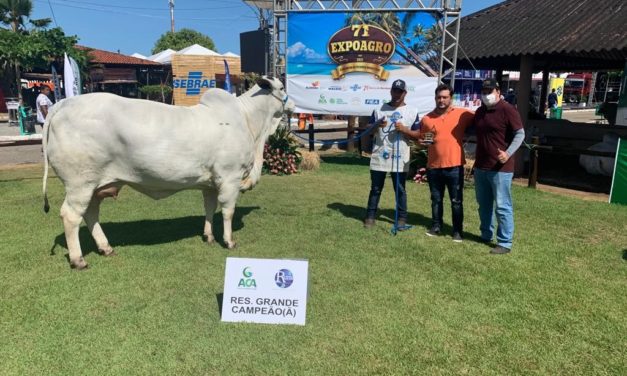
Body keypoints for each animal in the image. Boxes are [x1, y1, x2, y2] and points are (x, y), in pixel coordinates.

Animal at [44, 77, 294, 270]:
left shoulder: (211, 183)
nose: (293, 105)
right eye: (282, 87)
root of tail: (62, 104)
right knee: (71, 216)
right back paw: (78, 260)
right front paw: (229, 241)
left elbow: (209, 208)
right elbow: (227, 211)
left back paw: (106, 247)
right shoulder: (229, 177)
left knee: (91, 214)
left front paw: (209, 236)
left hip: (96, 185)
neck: (250, 123)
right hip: (80, 183)